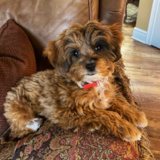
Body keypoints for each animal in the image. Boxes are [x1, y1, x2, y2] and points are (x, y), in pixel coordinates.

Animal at [3, 21, 148, 141]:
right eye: (75, 53)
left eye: (98, 47)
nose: (90, 65)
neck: (90, 83)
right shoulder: (71, 113)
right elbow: (106, 115)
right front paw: (128, 128)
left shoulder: (107, 96)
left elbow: (119, 102)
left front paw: (136, 115)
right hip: (20, 111)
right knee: (19, 130)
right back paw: (34, 123)